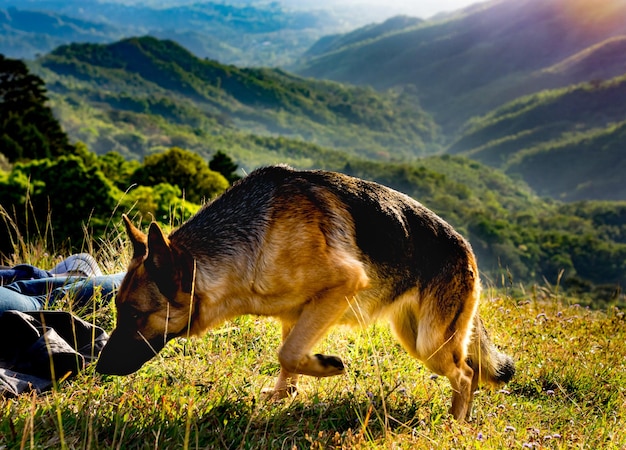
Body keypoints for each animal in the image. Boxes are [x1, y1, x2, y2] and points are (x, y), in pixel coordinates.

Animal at [95, 165, 510, 422]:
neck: (254, 239)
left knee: (466, 373)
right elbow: (288, 358)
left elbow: (289, 353)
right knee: (468, 370)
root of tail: (465, 249)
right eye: (118, 310)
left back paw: (455, 424)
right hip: (414, 335)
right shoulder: (293, 315)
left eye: (136, 315)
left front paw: (326, 366)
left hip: (430, 343)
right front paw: (283, 396)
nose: (98, 368)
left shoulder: (342, 286)